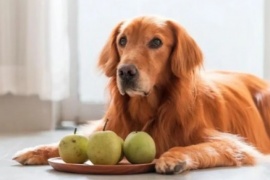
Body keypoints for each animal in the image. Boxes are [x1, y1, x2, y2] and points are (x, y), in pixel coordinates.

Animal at [13, 15, 270, 174]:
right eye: (122, 40)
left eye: (156, 42)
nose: (125, 71)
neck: (149, 109)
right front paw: (34, 150)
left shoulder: (233, 144)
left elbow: (198, 147)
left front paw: (174, 158)